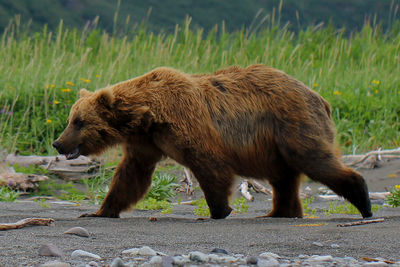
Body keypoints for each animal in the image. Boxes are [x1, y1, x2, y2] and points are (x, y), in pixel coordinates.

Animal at [52, 65, 372, 220]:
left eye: (78, 121)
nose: (57, 143)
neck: (148, 115)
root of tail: (319, 97)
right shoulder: (146, 143)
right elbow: (131, 177)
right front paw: (100, 210)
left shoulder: (185, 122)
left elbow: (209, 163)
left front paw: (218, 211)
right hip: (272, 145)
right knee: (284, 178)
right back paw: (280, 211)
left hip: (292, 124)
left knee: (313, 159)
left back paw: (364, 201)